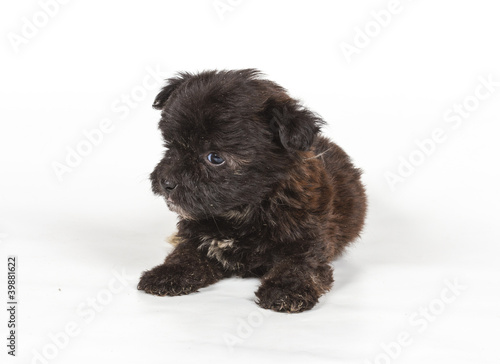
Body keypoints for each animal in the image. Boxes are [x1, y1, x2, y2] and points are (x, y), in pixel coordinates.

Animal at [138, 69, 368, 312]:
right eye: (171, 145)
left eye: (215, 158)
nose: (166, 181)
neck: (243, 211)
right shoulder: (197, 239)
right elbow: (185, 254)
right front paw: (168, 273)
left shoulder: (307, 240)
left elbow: (298, 264)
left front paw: (285, 289)